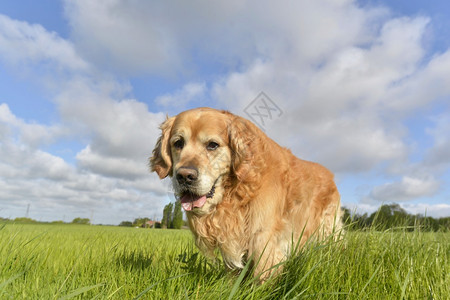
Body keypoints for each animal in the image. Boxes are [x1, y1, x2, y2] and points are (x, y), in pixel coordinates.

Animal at [150, 107, 342, 278]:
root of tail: (330, 175)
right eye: (178, 143)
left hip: (328, 231)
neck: (237, 192)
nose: (184, 176)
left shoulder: (263, 237)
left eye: (212, 145)